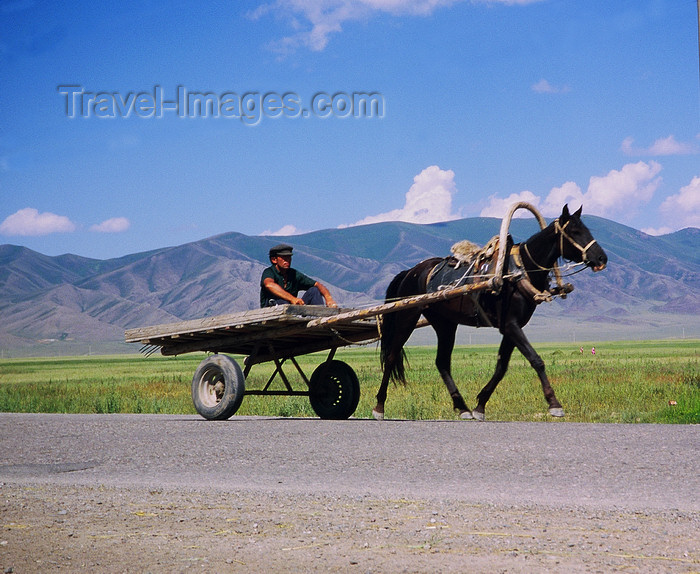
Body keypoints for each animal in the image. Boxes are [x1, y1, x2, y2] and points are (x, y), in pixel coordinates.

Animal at [372, 205, 608, 420]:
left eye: (587, 229)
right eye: (575, 231)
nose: (602, 258)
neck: (518, 271)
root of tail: (410, 272)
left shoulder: (511, 327)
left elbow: (501, 367)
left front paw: (480, 406)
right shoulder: (511, 325)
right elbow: (536, 360)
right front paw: (554, 404)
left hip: (445, 323)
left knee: (442, 362)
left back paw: (462, 407)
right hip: (407, 318)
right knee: (392, 356)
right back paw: (379, 407)